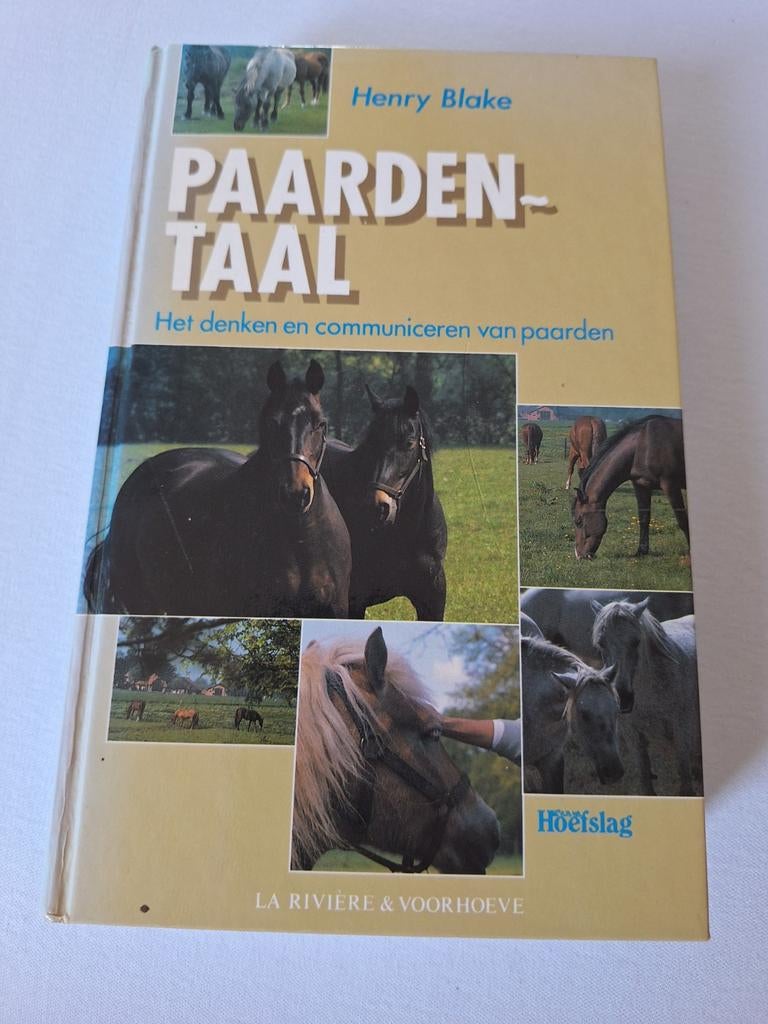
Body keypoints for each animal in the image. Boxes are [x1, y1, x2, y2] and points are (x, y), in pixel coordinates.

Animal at [571, 415, 689, 559]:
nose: (578, 555)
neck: (643, 446)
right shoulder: (641, 485)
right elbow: (643, 519)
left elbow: (682, 520)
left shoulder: (671, 485)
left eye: (579, 521)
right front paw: (641, 551)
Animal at [591, 599, 702, 795]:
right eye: (601, 644)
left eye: (636, 642)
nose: (623, 699)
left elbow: (685, 783)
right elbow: (645, 783)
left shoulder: (682, 733)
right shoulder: (634, 738)